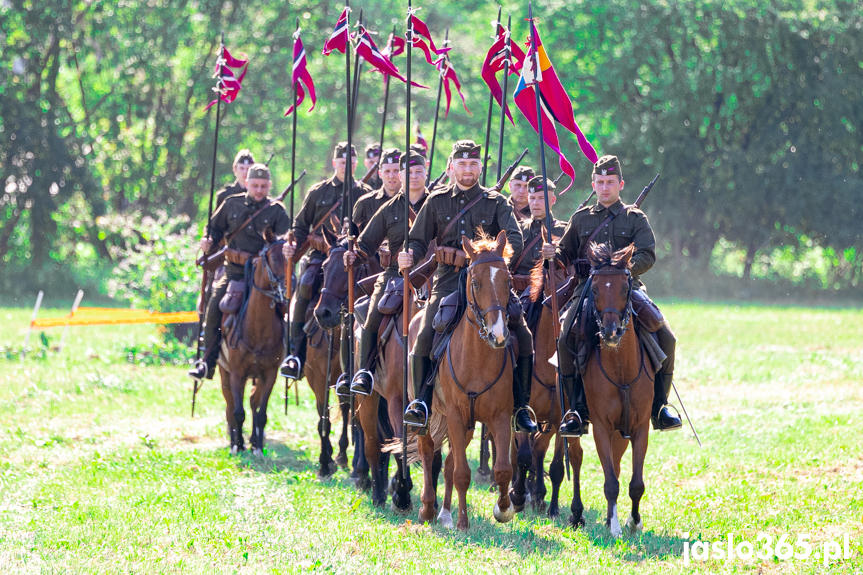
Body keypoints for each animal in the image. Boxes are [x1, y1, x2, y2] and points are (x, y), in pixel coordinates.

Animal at [218, 232, 288, 456]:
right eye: (272, 258)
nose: (288, 285)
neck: (258, 332)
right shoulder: (236, 374)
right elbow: (238, 412)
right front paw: (238, 445)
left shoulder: (269, 375)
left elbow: (261, 412)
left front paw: (257, 446)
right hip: (225, 374)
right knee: (230, 407)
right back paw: (235, 439)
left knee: (252, 403)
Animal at [432, 230, 520, 532]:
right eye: (476, 282)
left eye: (507, 281)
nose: (498, 335)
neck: (477, 360)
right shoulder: (455, 416)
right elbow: (461, 472)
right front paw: (462, 522)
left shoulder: (500, 417)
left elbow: (503, 468)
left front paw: (503, 508)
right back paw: (429, 509)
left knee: (448, 463)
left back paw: (444, 512)